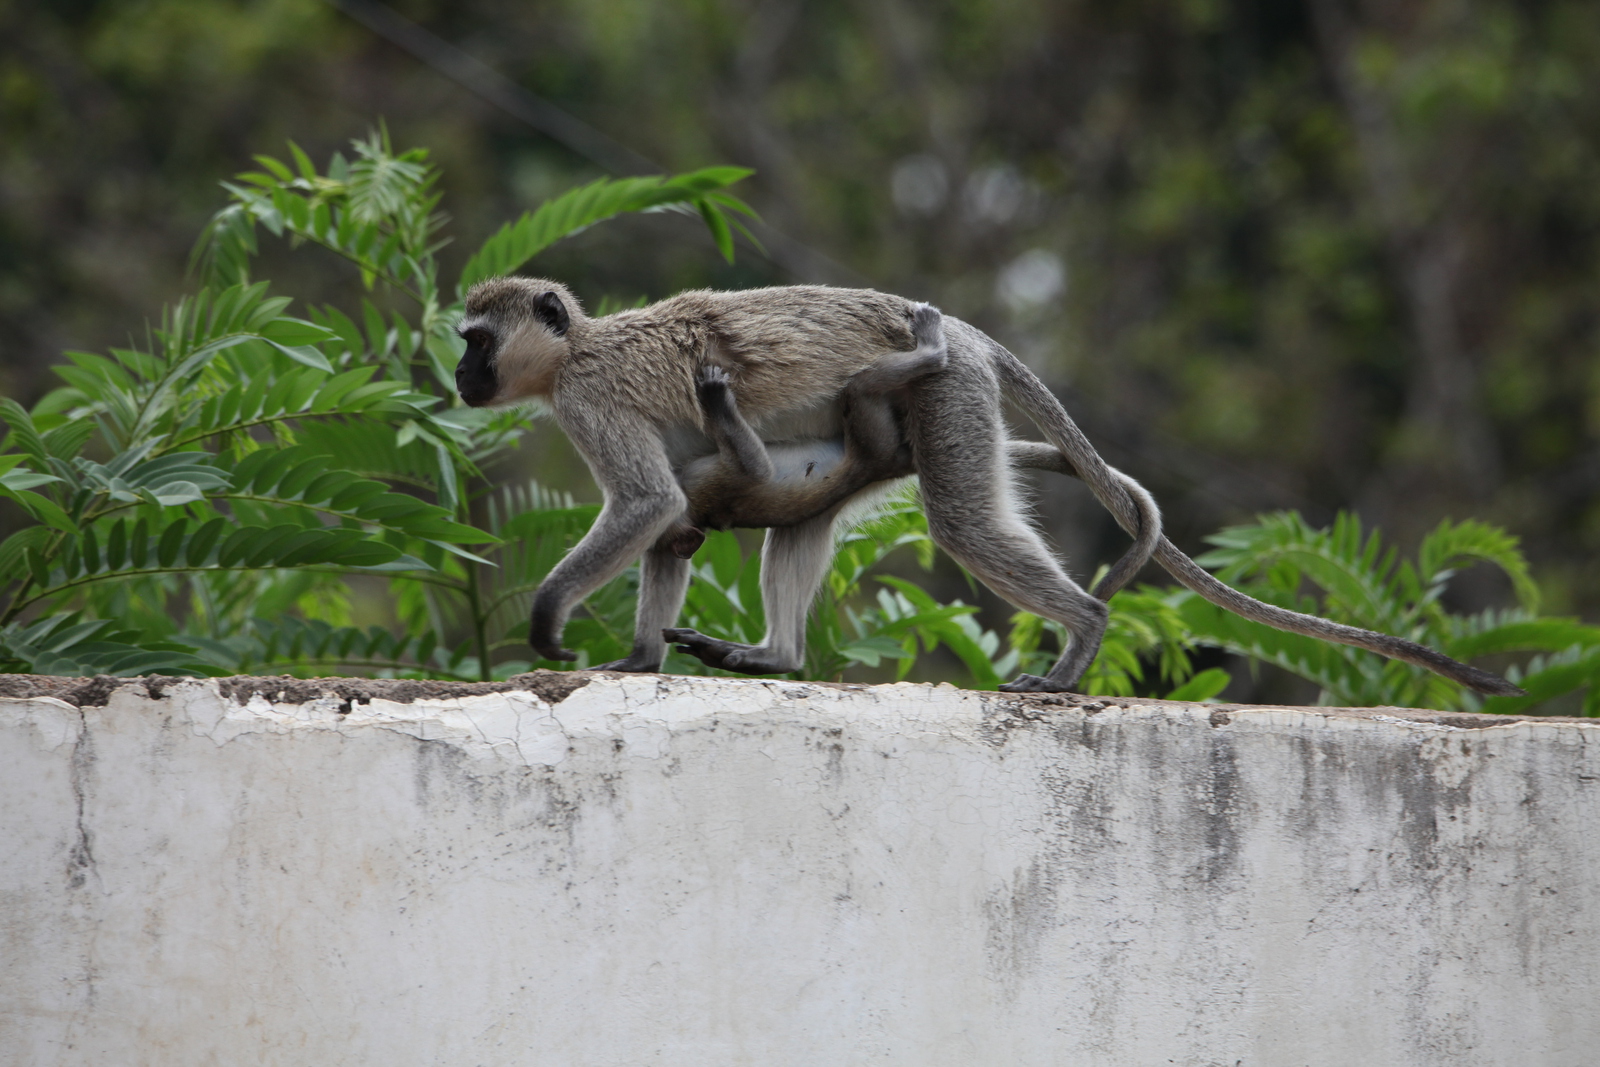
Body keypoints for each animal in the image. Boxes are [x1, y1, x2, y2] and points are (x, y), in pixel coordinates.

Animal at [457, 275, 1516, 697]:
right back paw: (779, 656)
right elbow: (674, 527)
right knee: (798, 517)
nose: (460, 376)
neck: (577, 350)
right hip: (881, 436)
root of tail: (966, 336)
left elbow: (651, 506)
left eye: (476, 340)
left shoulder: (588, 401)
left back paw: (1081, 633)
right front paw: (640, 659)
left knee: (961, 519)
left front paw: (551, 622)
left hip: (949, 398)